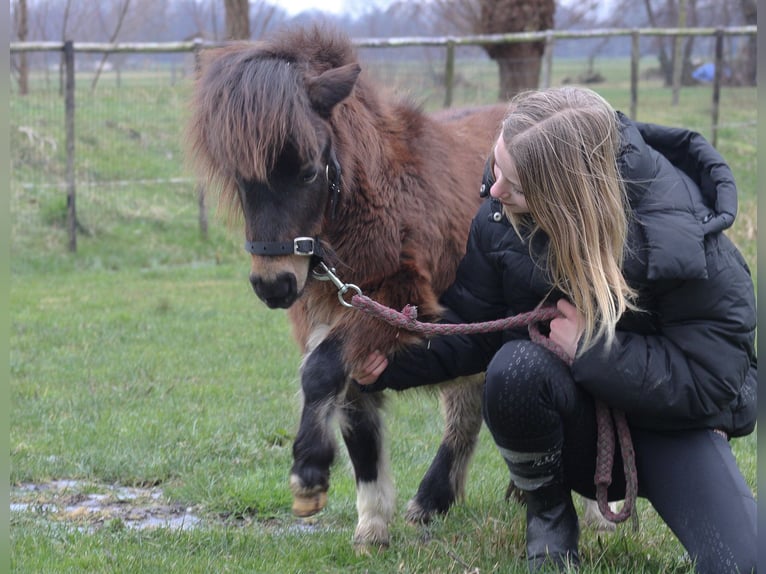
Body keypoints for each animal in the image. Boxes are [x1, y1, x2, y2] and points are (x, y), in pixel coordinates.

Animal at [187, 24, 510, 552]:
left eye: (307, 171)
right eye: (241, 179)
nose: (274, 285)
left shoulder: (400, 307)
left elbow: (320, 373)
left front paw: (308, 472)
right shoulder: (335, 319)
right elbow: (356, 417)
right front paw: (372, 525)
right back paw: (433, 501)